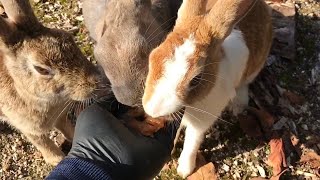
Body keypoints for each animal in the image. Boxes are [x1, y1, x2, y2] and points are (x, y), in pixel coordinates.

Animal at [0, 0, 100, 165]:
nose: (95, 82)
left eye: (68, 37)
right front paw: (57, 160)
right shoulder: (30, 129)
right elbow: (45, 145)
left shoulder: (60, 116)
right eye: (41, 69)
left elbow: (68, 129)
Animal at [142, 0, 272, 177]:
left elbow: (192, 141)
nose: (153, 110)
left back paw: (238, 106)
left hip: (255, 67)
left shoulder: (202, 121)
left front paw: (184, 170)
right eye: (153, 56)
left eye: (196, 79)